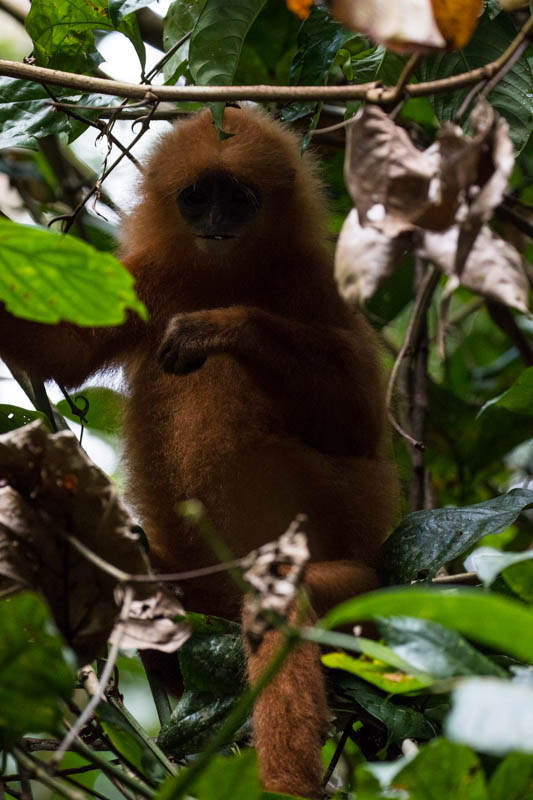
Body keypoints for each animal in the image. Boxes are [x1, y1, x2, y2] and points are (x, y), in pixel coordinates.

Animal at [0, 108, 396, 800]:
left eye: (237, 197)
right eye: (197, 197)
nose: (215, 221)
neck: (225, 272)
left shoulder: (317, 282)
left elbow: (360, 426)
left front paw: (221, 327)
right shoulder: (152, 278)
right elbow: (63, 351)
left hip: (358, 584)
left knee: (281, 598)